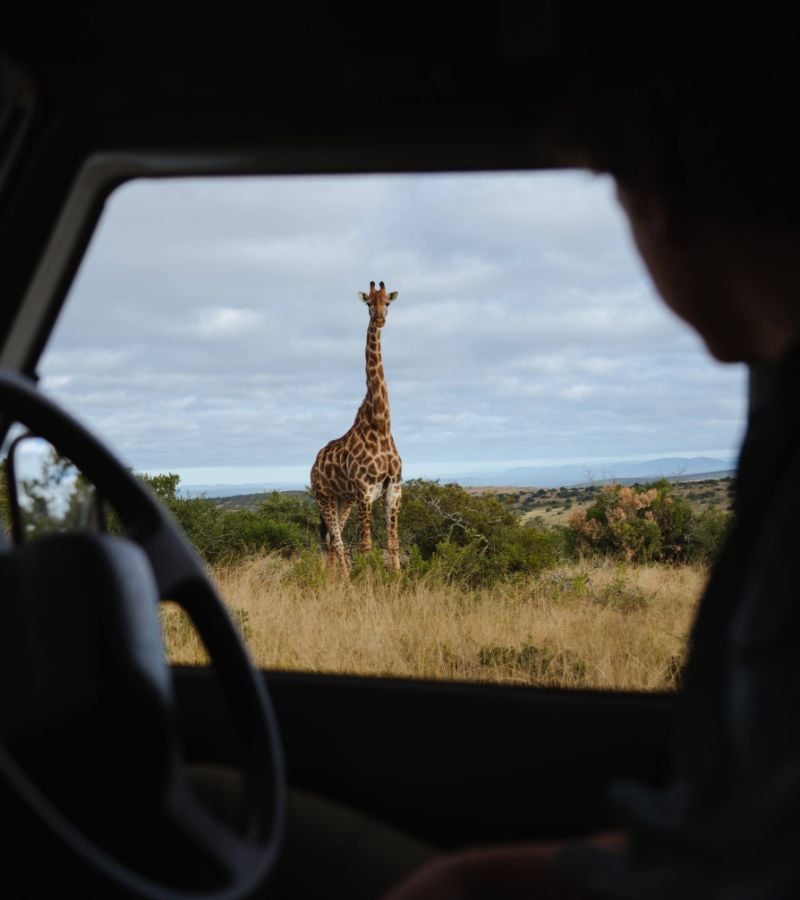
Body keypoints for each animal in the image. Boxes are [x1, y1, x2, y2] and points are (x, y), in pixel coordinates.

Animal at [310, 280, 403, 572]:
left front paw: (398, 580)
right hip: (325, 497)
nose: (380, 319)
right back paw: (345, 581)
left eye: (388, 302)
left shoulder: (393, 490)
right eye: (368, 303)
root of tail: (314, 465)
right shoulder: (365, 492)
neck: (381, 424)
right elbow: (367, 546)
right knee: (337, 543)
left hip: (344, 500)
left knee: (332, 541)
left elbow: (393, 545)